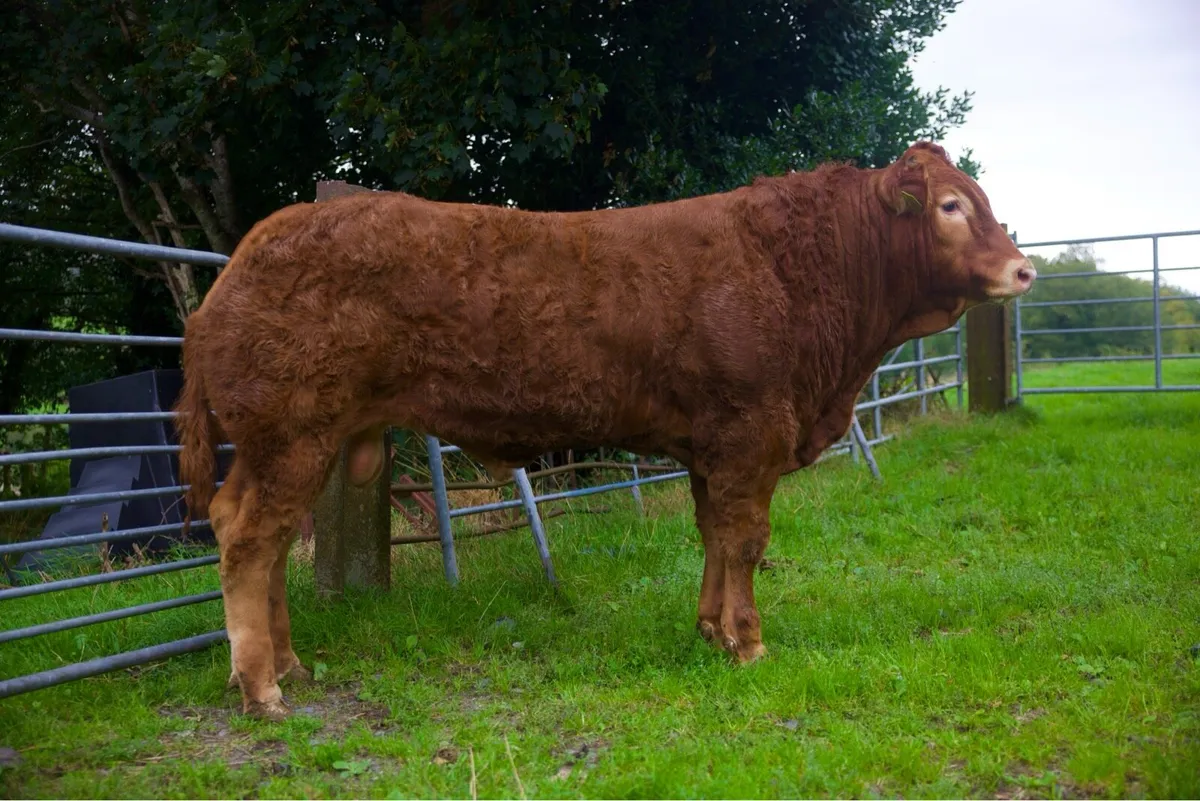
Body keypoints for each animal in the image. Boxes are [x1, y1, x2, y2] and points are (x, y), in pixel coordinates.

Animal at [175, 141, 1035, 720]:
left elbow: (714, 534)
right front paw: (749, 641)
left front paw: (708, 628)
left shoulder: (711, 445)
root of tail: (254, 248)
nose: (1023, 269)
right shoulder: (750, 431)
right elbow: (746, 539)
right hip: (292, 433)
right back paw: (263, 686)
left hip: (288, 444)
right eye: (952, 206)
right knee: (250, 540)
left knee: (257, 535)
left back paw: (285, 663)